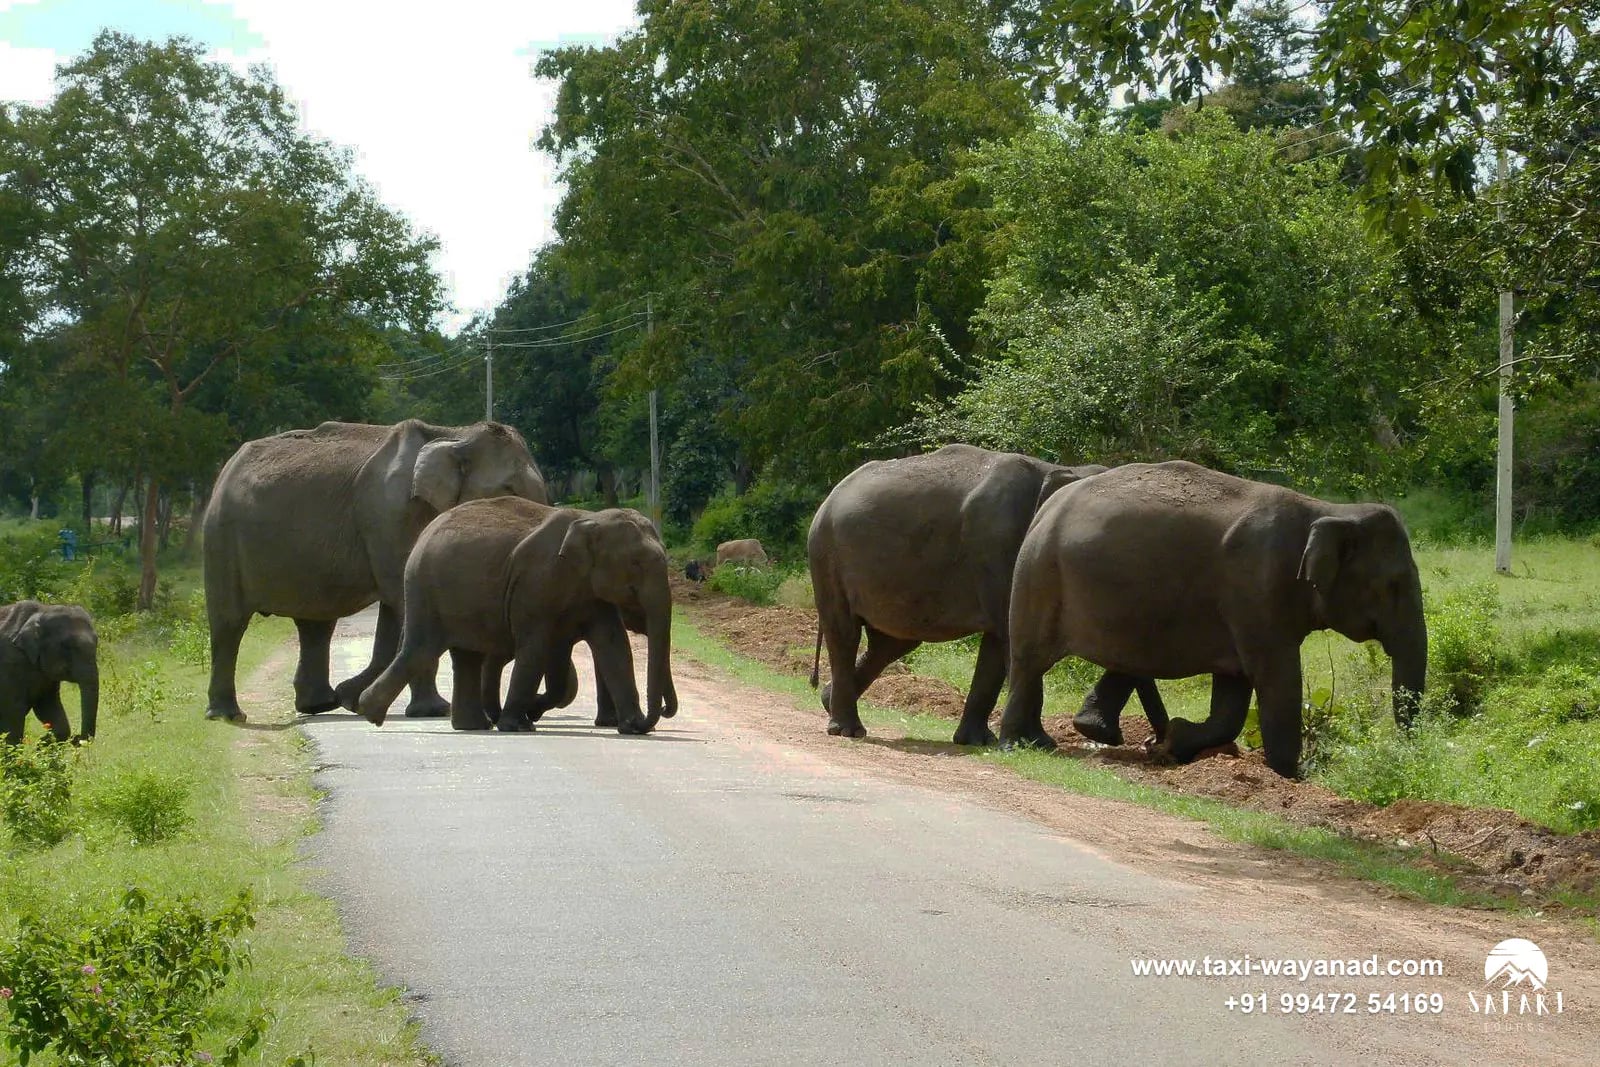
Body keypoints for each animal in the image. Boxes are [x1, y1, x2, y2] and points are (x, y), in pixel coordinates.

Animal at [0, 601, 98, 744]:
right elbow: (12, 713)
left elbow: (48, 706)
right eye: (66, 646)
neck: (42, 610)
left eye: (97, 642)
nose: (76, 738)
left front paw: (43, 742)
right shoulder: (9, 664)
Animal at [202, 419, 548, 723]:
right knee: (229, 622)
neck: (453, 434)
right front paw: (433, 711)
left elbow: (397, 608)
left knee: (316, 623)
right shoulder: (390, 514)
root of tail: (226, 469)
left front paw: (353, 698)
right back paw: (227, 716)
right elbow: (405, 600)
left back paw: (321, 704)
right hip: (221, 535)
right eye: (509, 489)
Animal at [357, 498, 678, 734]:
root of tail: (423, 533)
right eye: (635, 563)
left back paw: (474, 725)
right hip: (424, 588)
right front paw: (518, 724)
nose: (661, 712)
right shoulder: (535, 582)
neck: (591, 518)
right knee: (422, 650)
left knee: (466, 657)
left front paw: (631, 728)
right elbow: (535, 647)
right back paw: (369, 713)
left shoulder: (591, 592)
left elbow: (614, 646)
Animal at [807, 443, 1167, 746]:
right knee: (845, 632)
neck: (1055, 468)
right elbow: (1016, 638)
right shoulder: (999, 548)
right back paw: (847, 729)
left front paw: (978, 742)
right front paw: (1039, 744)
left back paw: (828, 700)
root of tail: (830, 497)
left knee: (892, 642)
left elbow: (998, 644)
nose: (1156, 743)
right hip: (827, 557)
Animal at [998, 461, 1428, 778]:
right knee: (1029, 661)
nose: (1406, 752)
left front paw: (1173, 741)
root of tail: (1047, 509)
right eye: (1393, 585)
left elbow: (1233, 693)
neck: (1327, 510)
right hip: (1039, 577)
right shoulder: (1257, 589)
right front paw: (1292, 775)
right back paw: (1017, 745)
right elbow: (1277, 677)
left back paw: (1060, 738)